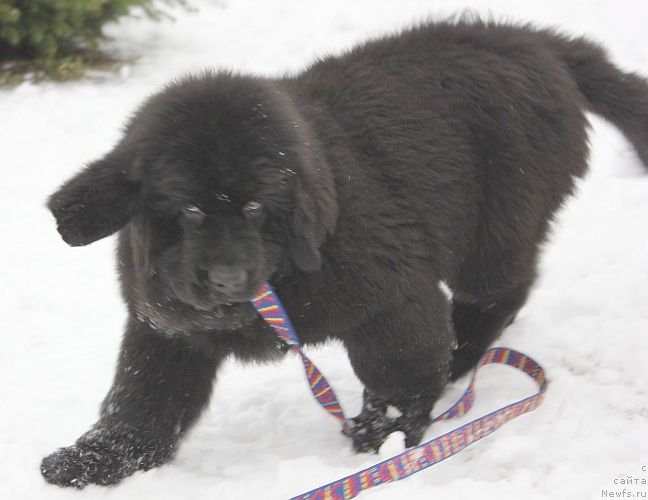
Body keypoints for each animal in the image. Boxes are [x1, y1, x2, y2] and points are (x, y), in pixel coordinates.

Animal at [43, 21, 644, 486]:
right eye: (189, 210)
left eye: (256, 207)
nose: (227, 278)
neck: (275, 281)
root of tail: (536, 43)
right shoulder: (168, 327)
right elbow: (144, 399)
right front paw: (98, 460)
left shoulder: (392, 296)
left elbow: (401, 370)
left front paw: (390, 435)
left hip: (501, 220)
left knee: (499, 292)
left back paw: (460, 359)